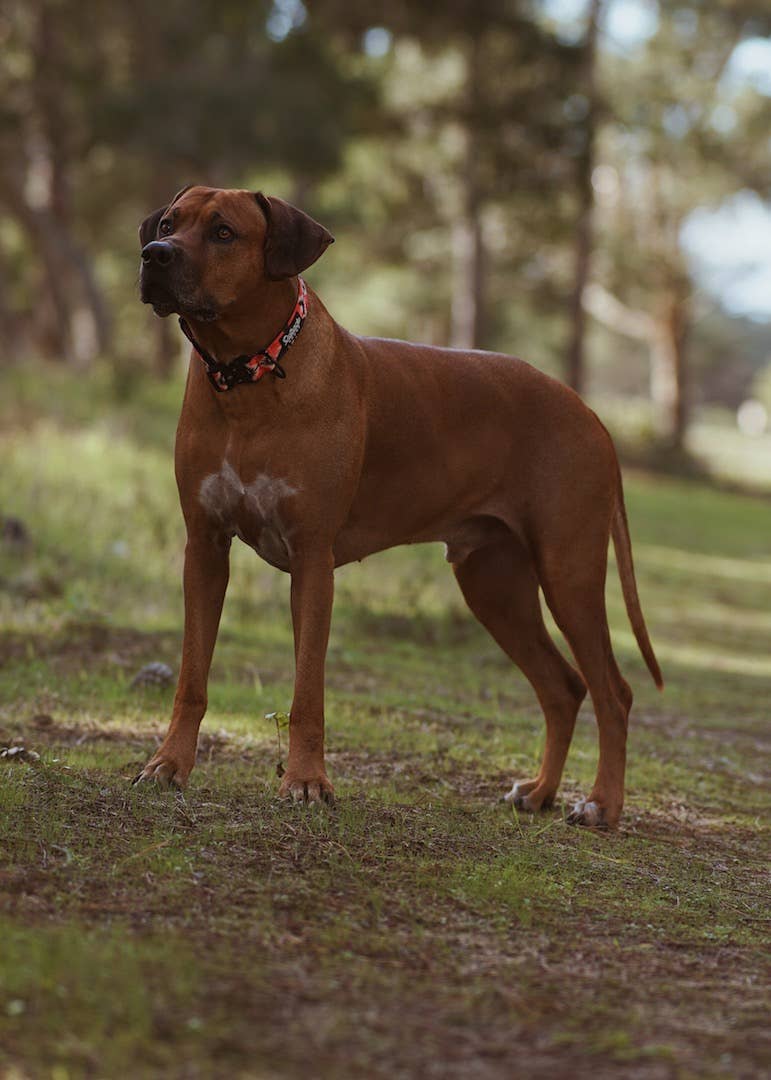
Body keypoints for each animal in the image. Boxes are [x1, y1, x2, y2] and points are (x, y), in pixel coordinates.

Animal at [133, 185, 660, 825]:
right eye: (168, 224)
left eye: (224, 232)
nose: (154, 255)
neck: (248, 376)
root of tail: (592, 415)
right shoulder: (205, 550)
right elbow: (191, 677)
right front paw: (169, 765)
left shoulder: (313, 560)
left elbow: (308, 693)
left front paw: (306, 782)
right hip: (494, 585)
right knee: (563, 686)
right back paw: (539, 792)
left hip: (569, 569)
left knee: (614, 691)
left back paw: (602, 804)